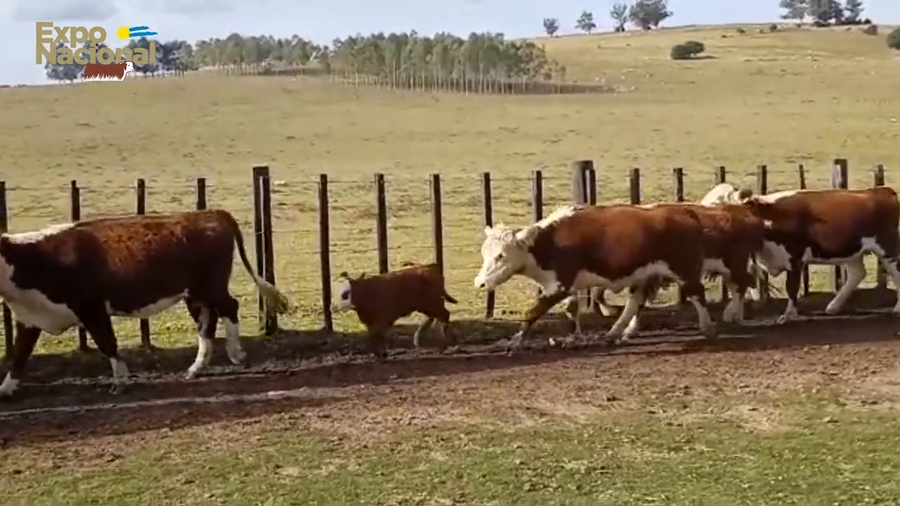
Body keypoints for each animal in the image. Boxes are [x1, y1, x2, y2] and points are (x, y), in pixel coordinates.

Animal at [0, 209, 291, 398]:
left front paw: (120, 380)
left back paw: (235, 353)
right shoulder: (29, 318)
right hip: (195, 295)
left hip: (210, 286)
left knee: (230, 308)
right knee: (207, 323)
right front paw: (5, 389)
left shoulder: (92, 308)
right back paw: (196, 368)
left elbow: (107, 343)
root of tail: (209, 213)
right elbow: (20, 355)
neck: (36, 258)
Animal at [473, 203, 723, 352]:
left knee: (697, 294)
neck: (549, 244)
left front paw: (515, 341)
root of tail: (685, 212)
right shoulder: (568, 287)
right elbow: (571, 311)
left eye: (501, 255)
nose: (480, 283)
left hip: (684, 270)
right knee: (634, 303)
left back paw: (708, 328)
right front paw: (575, 338)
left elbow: (532, 312)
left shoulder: (559, 286)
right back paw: (615, 333)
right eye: (484, 253)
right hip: (645, 275)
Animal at [714, 184, 900, 322]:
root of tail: (880, 191)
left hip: (887, 249)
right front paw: (731, 312)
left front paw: (788, 315)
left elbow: (791, 287)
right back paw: (833, 307)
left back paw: (897, 308)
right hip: (850, 250)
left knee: (896, 273)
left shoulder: (794, 258)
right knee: (857, 274)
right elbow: (743, 282)